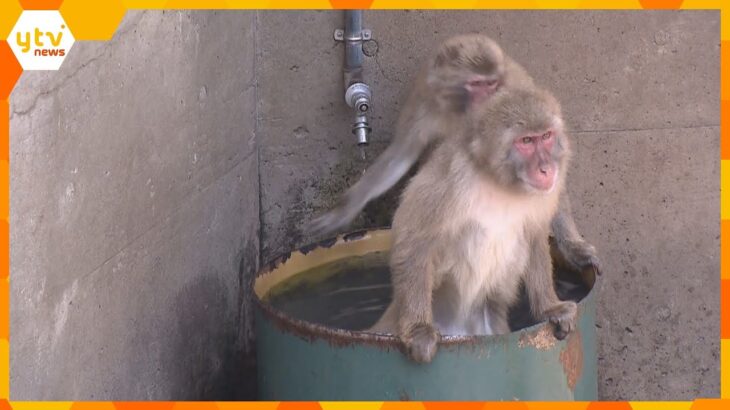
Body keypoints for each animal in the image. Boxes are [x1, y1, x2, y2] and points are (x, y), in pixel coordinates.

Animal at [308, 34, 596, 276]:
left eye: (492, 84)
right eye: (477, 84)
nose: (490, 97)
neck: (462, 109)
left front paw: (573, 246)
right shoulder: (424, 101)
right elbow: (400, 156)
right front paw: (344, 210)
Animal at [366, 85, 576, 362]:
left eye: (547, 136)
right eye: (526, 141)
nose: (546, 168)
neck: (501, 182)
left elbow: (534, 236)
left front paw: (550, 307)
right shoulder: (454, 177)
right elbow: (414, 236)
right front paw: (418, 329)